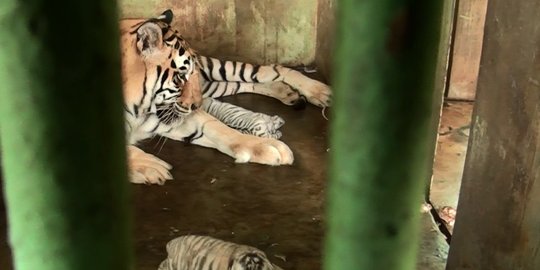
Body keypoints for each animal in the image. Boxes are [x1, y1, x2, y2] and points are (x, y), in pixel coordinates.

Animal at [123, 10, 332, 184]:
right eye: (180, 77)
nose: (196, 106)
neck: (139, 108)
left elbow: (221, 129)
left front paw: (267, 146)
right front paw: (150, 166)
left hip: (212, 69)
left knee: (271, 69)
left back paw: (320, 91)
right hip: (211, 86)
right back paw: (286, 92)